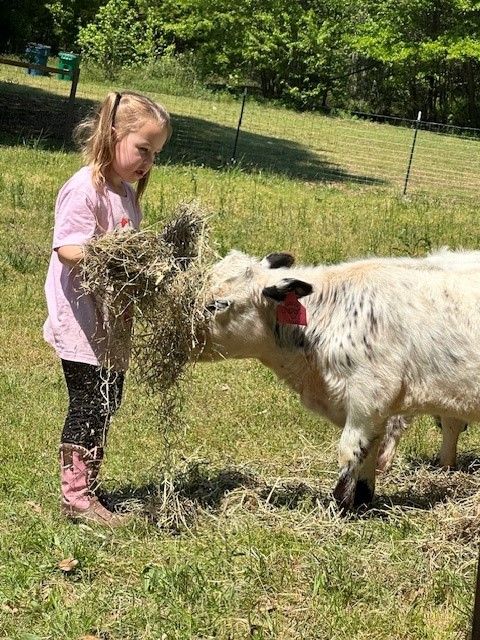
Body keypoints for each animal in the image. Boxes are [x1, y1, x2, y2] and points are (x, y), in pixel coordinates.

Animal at [198, 249, 480, 511]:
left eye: (218, 304)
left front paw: (340, 507)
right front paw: (362, 504)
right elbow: (369, 453)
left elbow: (350, 452)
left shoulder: (367, 400)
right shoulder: (373, 412)